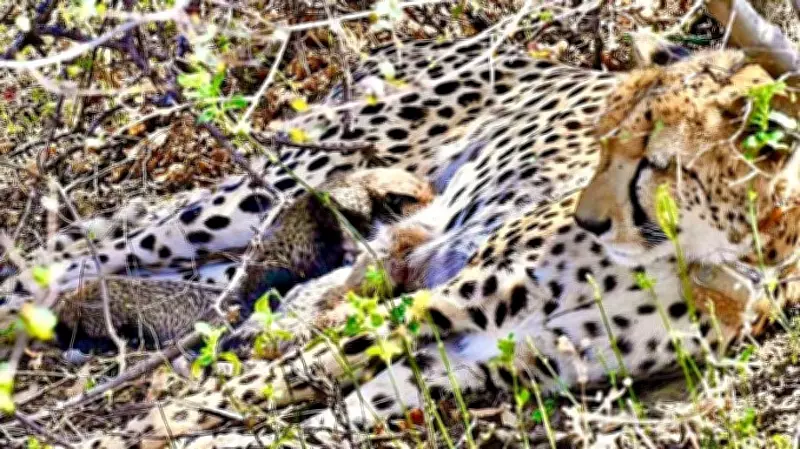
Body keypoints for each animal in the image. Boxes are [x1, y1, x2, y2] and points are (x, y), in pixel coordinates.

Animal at [31, 36, 796, 448]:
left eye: (651, 159)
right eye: (601, 143)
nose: (589, 220)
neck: (701, 255)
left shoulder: (492, 356)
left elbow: (335, 407)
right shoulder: (447, 301)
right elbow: (283, 377)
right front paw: (154, 421)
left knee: (223, 289)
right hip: (278, 182)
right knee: (96, 248)